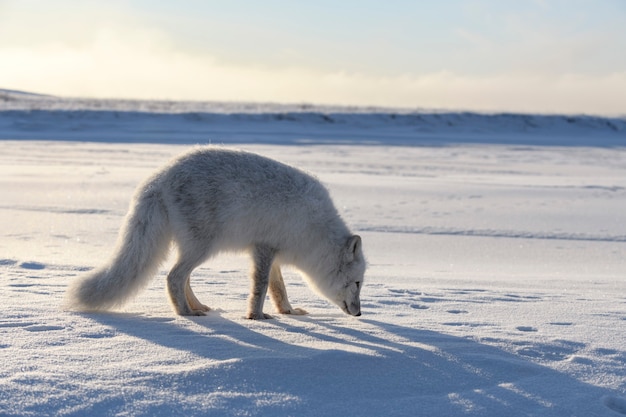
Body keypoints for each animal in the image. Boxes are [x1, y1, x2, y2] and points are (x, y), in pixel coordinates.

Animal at [66, 146, 364, 318]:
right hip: (202, 247)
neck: (315, 232)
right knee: (173, 277)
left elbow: (278, 287)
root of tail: (158, 178)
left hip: (194, 247)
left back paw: (197, 307)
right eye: (358, 283)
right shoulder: (264, 249)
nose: (360, 314)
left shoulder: (273, 252)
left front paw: (288, 311)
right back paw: (185, 313)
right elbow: (260, 287)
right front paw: (256, 317)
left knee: (182, 278)